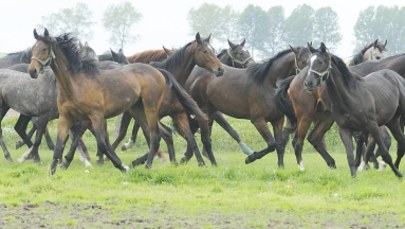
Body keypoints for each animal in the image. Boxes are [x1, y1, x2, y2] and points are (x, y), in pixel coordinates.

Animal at [27, 28, 170, 174]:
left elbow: (102, 144)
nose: (32, 71)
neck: (75, 84)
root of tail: (158, 72)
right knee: (161, 133)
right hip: (137, 110)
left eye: (44, 49)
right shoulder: (65, 117)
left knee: (155, 135)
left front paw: (122, 166)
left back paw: (148, 165)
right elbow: (59, 146)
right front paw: (52, 173)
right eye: (33, 48)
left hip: (150, 108)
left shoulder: (96, 116)